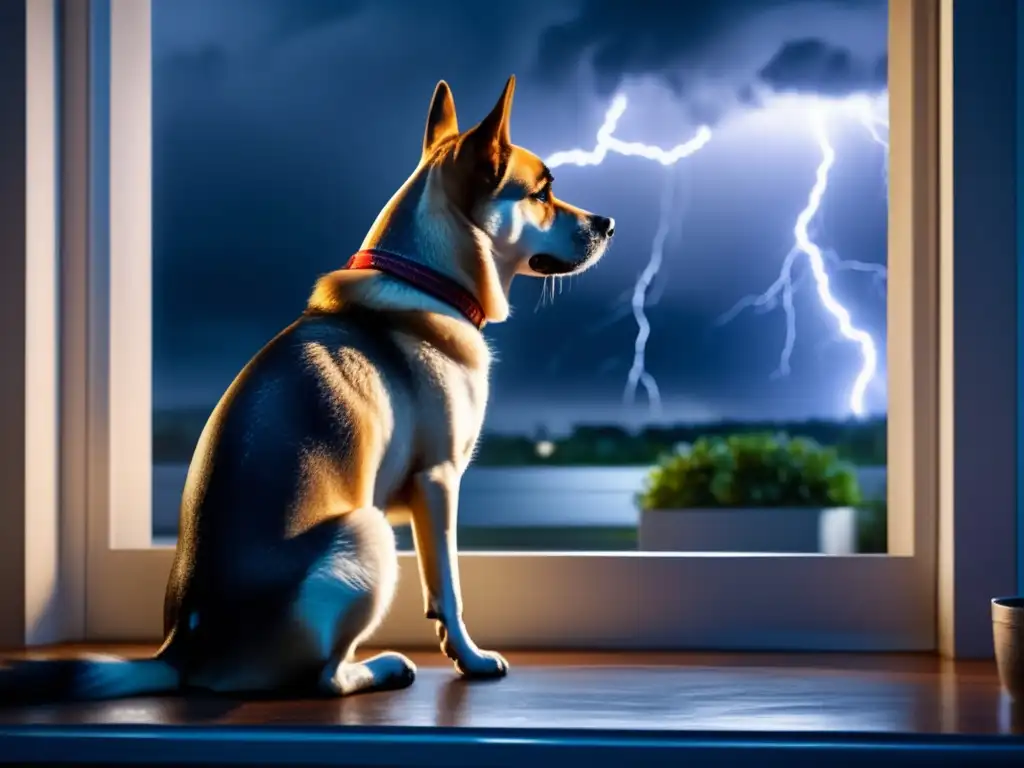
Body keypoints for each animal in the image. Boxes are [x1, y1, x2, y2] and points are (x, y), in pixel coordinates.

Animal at [0, 75, 610, 700]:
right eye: (543, 193)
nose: (607, 224)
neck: (425, 279)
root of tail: (181, 651)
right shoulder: (438, 482)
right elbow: (448, 588)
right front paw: (471, 657)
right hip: (369, 533)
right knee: (326, 678)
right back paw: (383, 667)